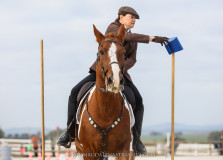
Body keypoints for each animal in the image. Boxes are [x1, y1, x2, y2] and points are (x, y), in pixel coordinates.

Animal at [75, 24, 134, 160]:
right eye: (101, 52)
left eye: (123, 53)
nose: (115, 81)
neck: (105, 111)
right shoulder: (89, 152)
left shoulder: (123, 151)